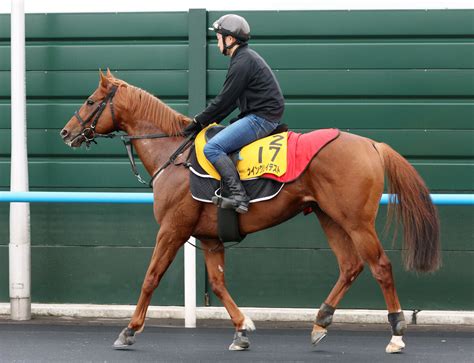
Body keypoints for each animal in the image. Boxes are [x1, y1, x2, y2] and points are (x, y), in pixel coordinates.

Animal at [61, 72, 442, 356]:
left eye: (91, 101)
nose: (67, 132)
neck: (174, 155)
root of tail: (372, 145)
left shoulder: (172, 229)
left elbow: (151, 277)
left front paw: (129, 330)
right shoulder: (209, 237)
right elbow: (217, 283)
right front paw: (242, 329)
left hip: (356, 222)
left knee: (380, 266)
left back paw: (396, 333)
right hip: (329, 217)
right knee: (350, 266)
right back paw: (320, 322)